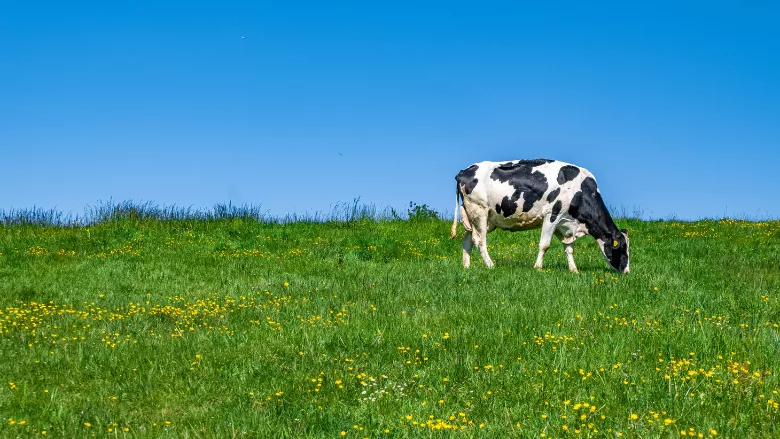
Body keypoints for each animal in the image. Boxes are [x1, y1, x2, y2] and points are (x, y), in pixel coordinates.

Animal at [451, 159, 630, 273]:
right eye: (622, 249)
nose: (626, 272)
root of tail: (464, 171)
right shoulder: (552, 215)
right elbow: (544, 245)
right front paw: (538, 268)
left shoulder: (564, 224)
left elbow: (569, 248)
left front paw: (574, 270)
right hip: (479, 210)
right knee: (480, 240)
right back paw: (490, 265)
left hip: (479, 217)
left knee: (467, 239)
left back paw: (466, 266)